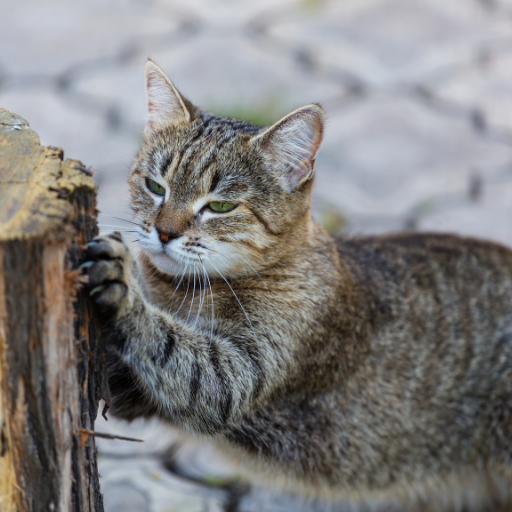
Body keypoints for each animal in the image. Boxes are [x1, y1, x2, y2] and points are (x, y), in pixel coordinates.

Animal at [82, 59, 512, 508]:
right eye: (155, 186)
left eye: (220, 205)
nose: (164, 232)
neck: (181, 292)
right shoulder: (133, 394)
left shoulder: (233, 375)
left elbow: (169, 343)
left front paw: (125, 285)